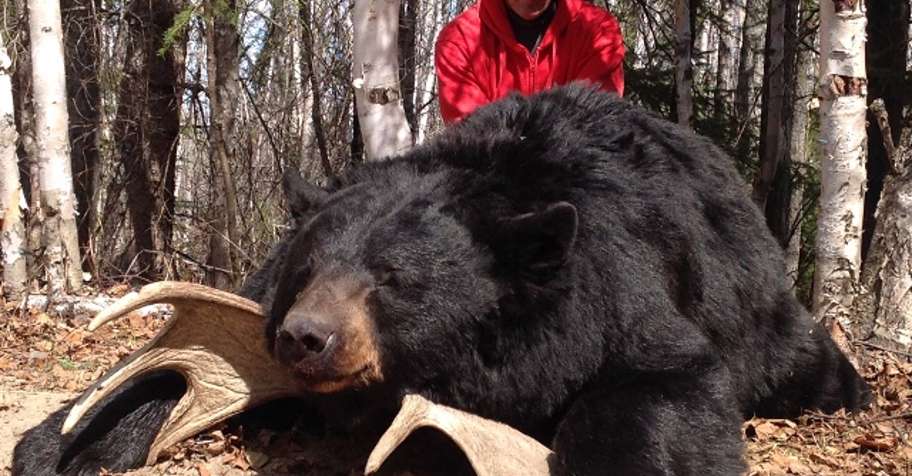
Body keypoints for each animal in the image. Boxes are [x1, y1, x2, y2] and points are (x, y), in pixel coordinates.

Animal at [14, 85, 870, 475]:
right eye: (307, 269)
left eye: (394, 280)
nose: (304, 337)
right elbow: (168, 364)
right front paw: (62, 440)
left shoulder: (619, 285)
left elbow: (662, 384)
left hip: (768, 320)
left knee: (805, 362)